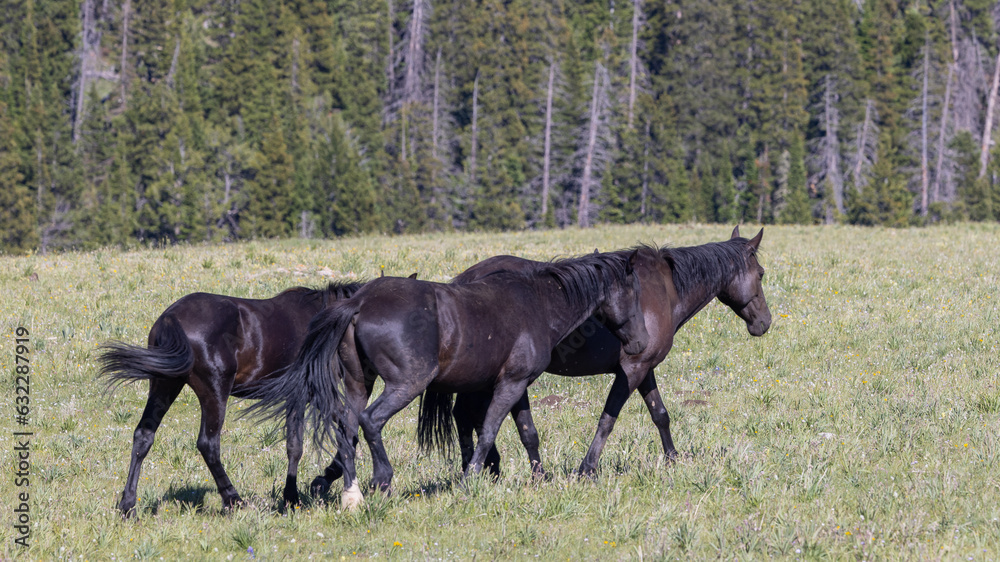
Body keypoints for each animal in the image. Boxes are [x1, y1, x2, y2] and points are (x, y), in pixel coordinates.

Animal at [98, 279, 393, 517]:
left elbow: (298, 444)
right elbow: (319, 439)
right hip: (214, 391)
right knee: (208, 444)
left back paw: (128, 506)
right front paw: (305, 492)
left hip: (165, 384)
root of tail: (172, 318)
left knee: (144, 435)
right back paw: (234, 500)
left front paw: (296, 495)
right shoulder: (310, 394)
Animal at [249, 250, 651, 510]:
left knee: (347, 428)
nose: (640, 343)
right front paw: (470, 478)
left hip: (359, 383)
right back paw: (382, 479)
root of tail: (358, 302)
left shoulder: (515, 385)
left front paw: (537, 479)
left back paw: (352, 493)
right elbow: (488, 431)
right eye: (633, 292)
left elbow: (526, 432)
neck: (538, 302)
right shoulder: (510, 384)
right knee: (370, 421)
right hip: (406, 384)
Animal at [427, 226, 770, 477]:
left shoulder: (645, 369)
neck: (664, 290)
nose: (764, 322)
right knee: (469, 416)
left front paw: (672, 459)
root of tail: (465, 280)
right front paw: (587, 469)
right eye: (762, 273)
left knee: (465, 416)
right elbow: (608, 419)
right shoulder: (632, 369)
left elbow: (660, 415)